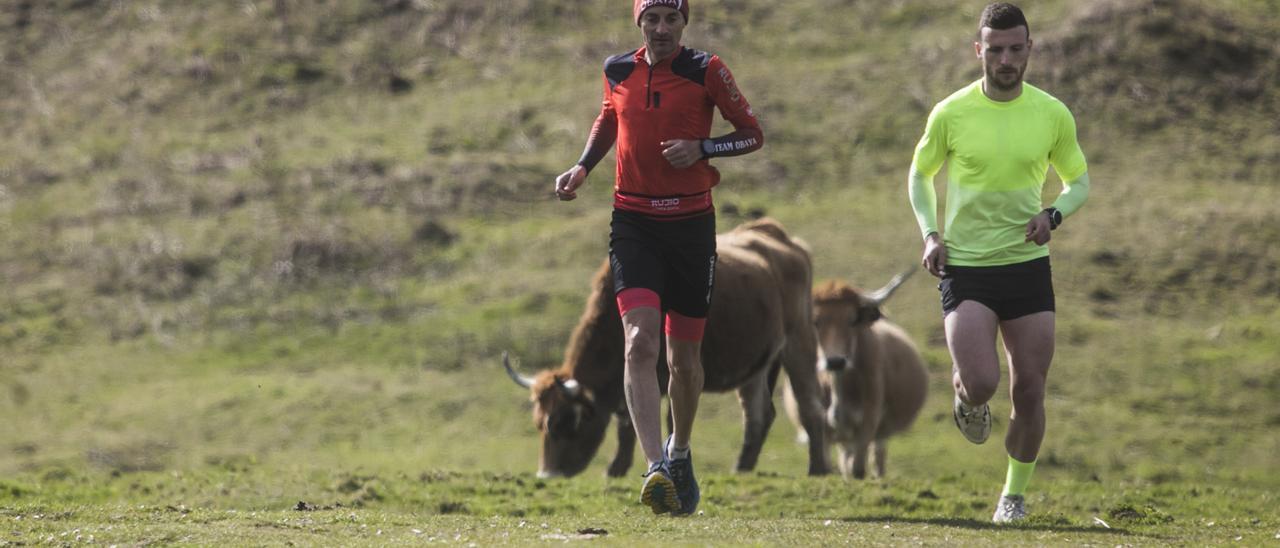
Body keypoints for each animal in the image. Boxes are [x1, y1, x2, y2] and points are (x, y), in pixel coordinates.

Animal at [501, 220, 829, 476]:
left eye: (565, 422)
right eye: (540, 423)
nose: (547, 474)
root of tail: (782, 239)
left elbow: (670, 415)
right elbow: (627, 420)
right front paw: (617, 468)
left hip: (798, 343)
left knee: (809, 406)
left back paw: (817, 468)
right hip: (756, 365)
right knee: (758, 414)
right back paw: (742, 468)